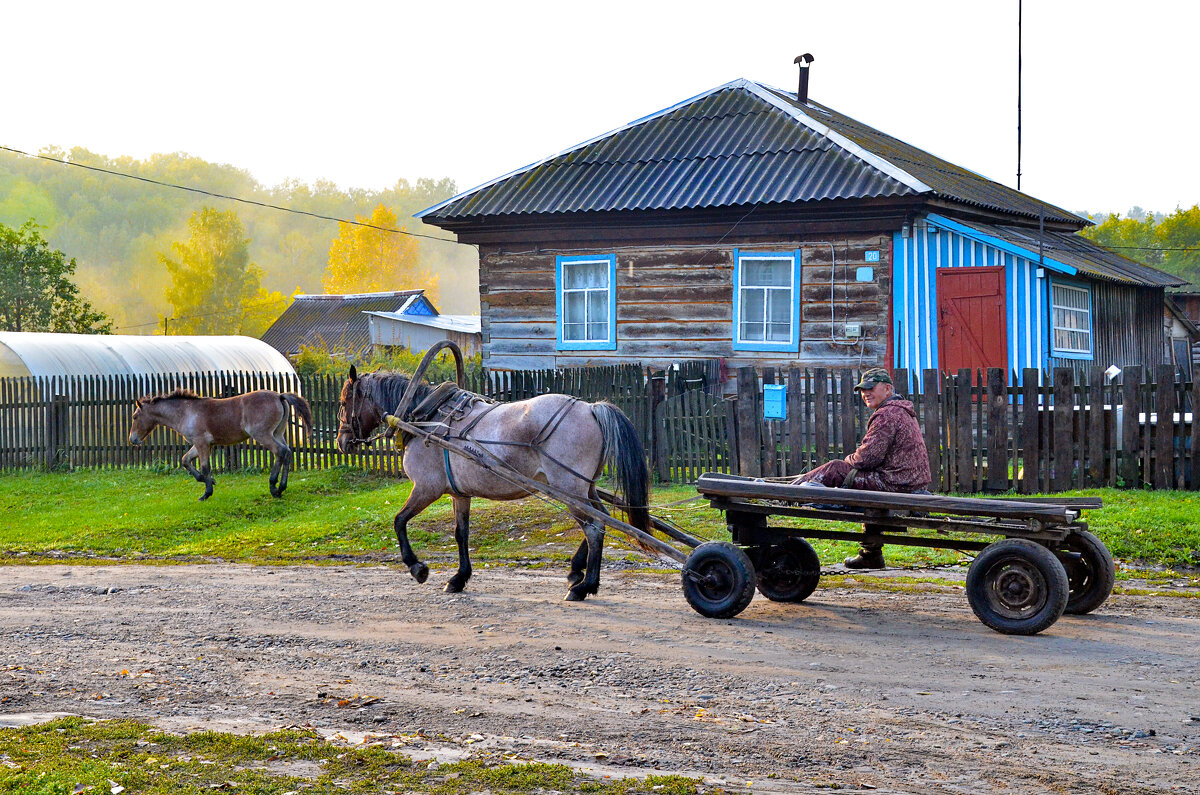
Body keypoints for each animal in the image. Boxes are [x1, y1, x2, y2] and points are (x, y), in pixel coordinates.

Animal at [129, 389, 312, 501]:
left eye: (135, 417)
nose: (132, 439)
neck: (186, 412)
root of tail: (279, 396)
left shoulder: (202, 443)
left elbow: (204, 467)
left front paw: (206, 493)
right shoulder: (200, 445)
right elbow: (185, 460)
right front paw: (209, 481)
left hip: (263, 435)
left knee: (280, 452)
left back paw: (274, 487)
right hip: (278, 434)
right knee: (287, 453)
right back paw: (281, 488)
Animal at [333, 369, 652, 600]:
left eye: (344, 402)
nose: (341, 441)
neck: (426, 417)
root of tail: (590, 408)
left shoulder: (426, 489)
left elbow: (399, 521)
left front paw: (417, 568)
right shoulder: (459, 494)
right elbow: (461, 533)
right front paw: (459, 578)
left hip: (569, 489)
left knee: (594, 528)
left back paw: (585, 587)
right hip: (585, 489)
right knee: (603, 520)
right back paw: (577, 572)